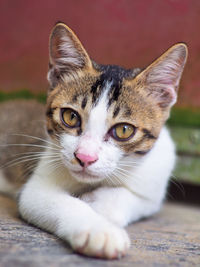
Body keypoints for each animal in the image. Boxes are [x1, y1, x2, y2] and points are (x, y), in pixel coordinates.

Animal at [0, 22, 188, 260]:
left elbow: (135, 198)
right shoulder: (37, 186)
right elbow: (56, 201)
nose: (85, 157)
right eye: (70, 117)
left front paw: (96, 204)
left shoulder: (155, 178)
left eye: (124, 130)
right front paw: (100, 231)